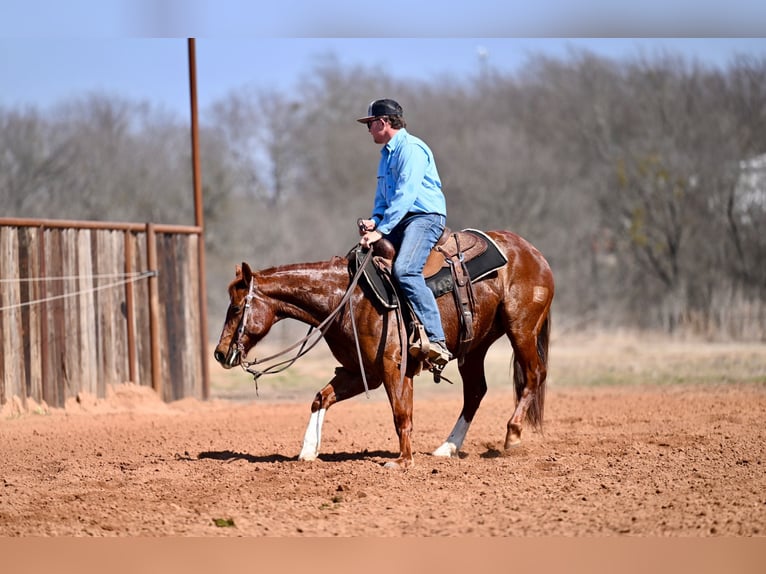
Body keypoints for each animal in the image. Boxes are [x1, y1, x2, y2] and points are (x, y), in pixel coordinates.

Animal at [213, 229, 554, 469]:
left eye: (236, 308)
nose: (219, 352)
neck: (347, 298)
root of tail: (534, 253)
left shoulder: (393, 367)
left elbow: (401, 414)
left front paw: (403, 461)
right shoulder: (359, 371)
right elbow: (320, 398)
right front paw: (308, 451)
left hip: (521, 329)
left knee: (534, 375)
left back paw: (512, 434)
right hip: (475, 346)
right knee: (475, 392)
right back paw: (447, 447)